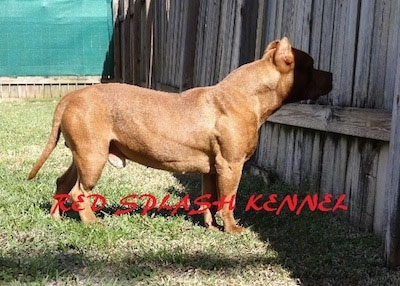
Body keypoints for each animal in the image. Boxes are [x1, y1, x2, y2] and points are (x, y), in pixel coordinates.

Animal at [28, 37, 332, 232]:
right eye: (311, 65)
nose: (331, 74)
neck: (247, 95)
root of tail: (70, 96)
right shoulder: (231, 167)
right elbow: (228, 201)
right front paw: (232, 229)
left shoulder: (212, 169)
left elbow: (209, 199)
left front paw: (211, 227)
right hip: (93, 159)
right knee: (79, 191)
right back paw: (92, 224)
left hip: (83, 156)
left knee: (63, 182)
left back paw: (56, 219)